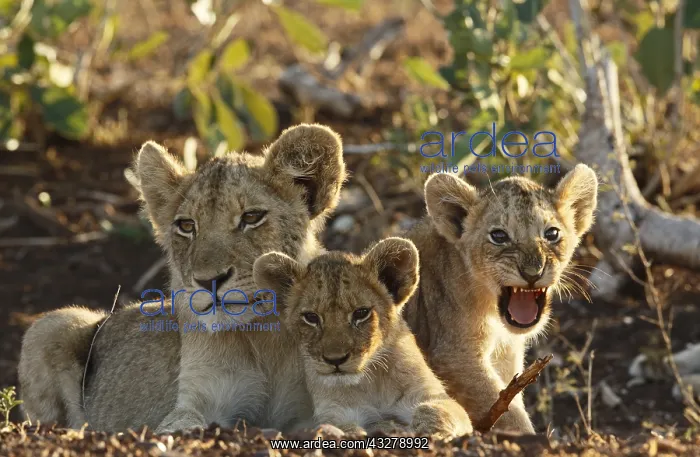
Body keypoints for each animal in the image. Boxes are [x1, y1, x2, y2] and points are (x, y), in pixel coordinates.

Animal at [18, 123, 347, 432]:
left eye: (252, 217)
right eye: (187, 226)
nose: (208, 281)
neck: (266, 339)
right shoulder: (195, 400)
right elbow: (180, 426)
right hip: (52, 324)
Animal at [253, 238, 473, 438]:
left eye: (361, 313)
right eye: (311, 317)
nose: (335, 360)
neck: (371, 382)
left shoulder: (429, 394)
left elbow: (437, 410)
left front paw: (429, 431)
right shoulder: (335, 411)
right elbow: (342, 428)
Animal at [402, 165, 598, 433]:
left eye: (552, 233)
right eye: (499, 236)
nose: (532, 273)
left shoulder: (506, 356)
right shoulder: (454, 356)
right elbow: (510, 414)